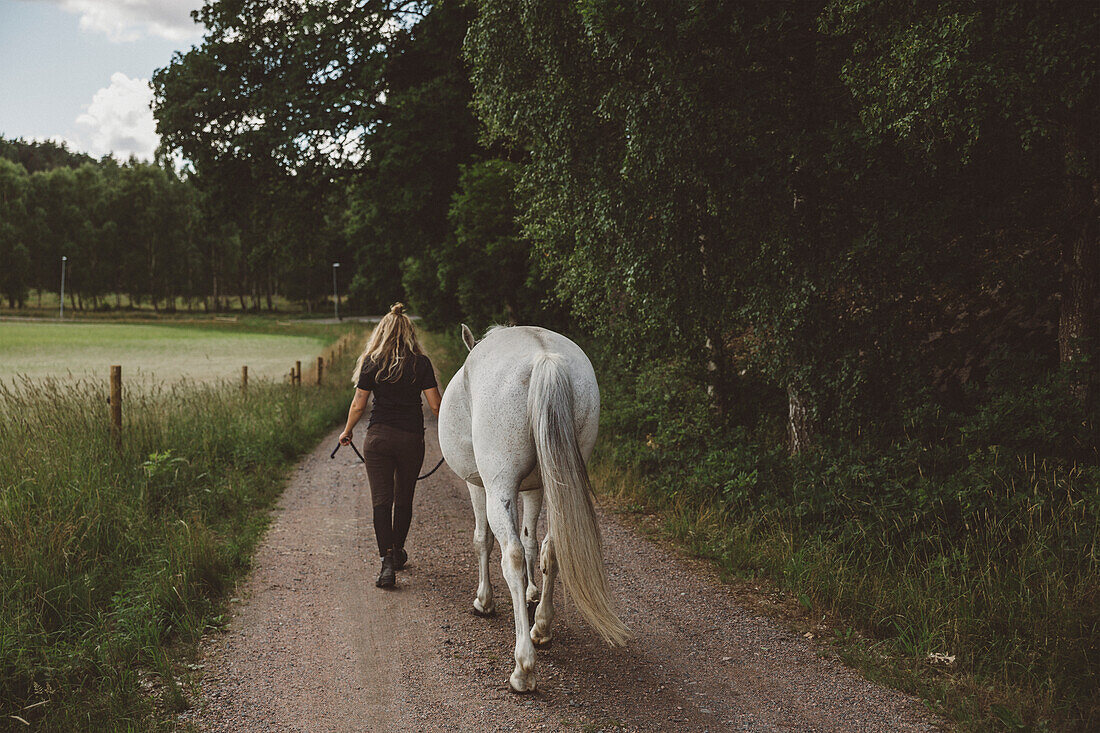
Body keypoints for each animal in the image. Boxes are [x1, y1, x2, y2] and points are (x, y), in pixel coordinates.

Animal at [437, 323, 629, 691]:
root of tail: (544, 356)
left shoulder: (477, 484)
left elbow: (483, 540)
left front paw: (484, 600)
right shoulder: (536, 488)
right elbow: (531, 539)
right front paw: (530, 593)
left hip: (498, 487)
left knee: (509, 554)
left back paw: (523, 667)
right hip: (557, 479)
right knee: (551, 547)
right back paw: (541, 628)